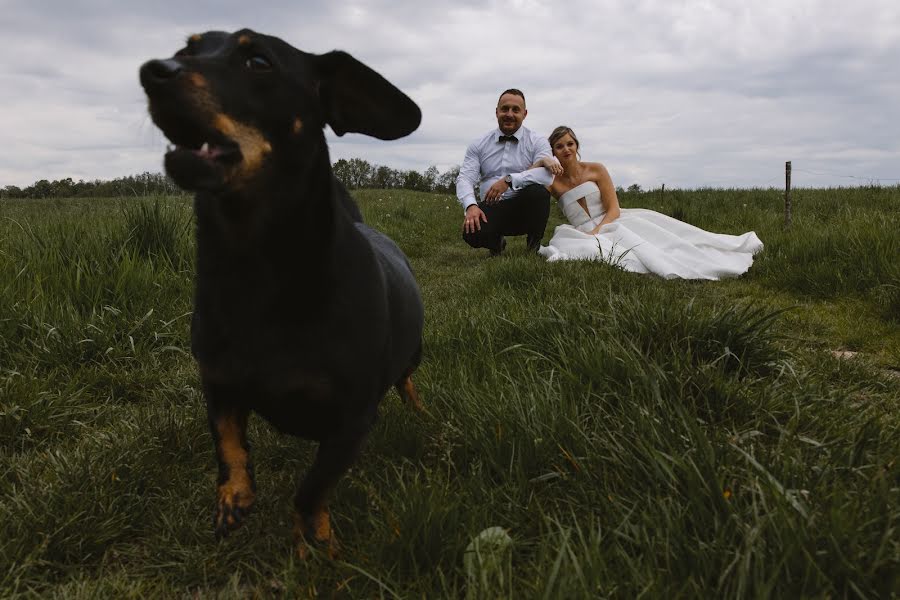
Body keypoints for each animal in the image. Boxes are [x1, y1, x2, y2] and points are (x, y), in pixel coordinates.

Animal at [138, 29, 426, 556]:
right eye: (187, 48)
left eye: (258, 61)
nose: (154, 71)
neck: (257, 271)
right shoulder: (219, 384)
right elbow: (228, 445)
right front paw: (233, 498)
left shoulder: (354, 419)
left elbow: (312, 488)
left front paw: (315, 538)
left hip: (409, 357)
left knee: (407, 381)